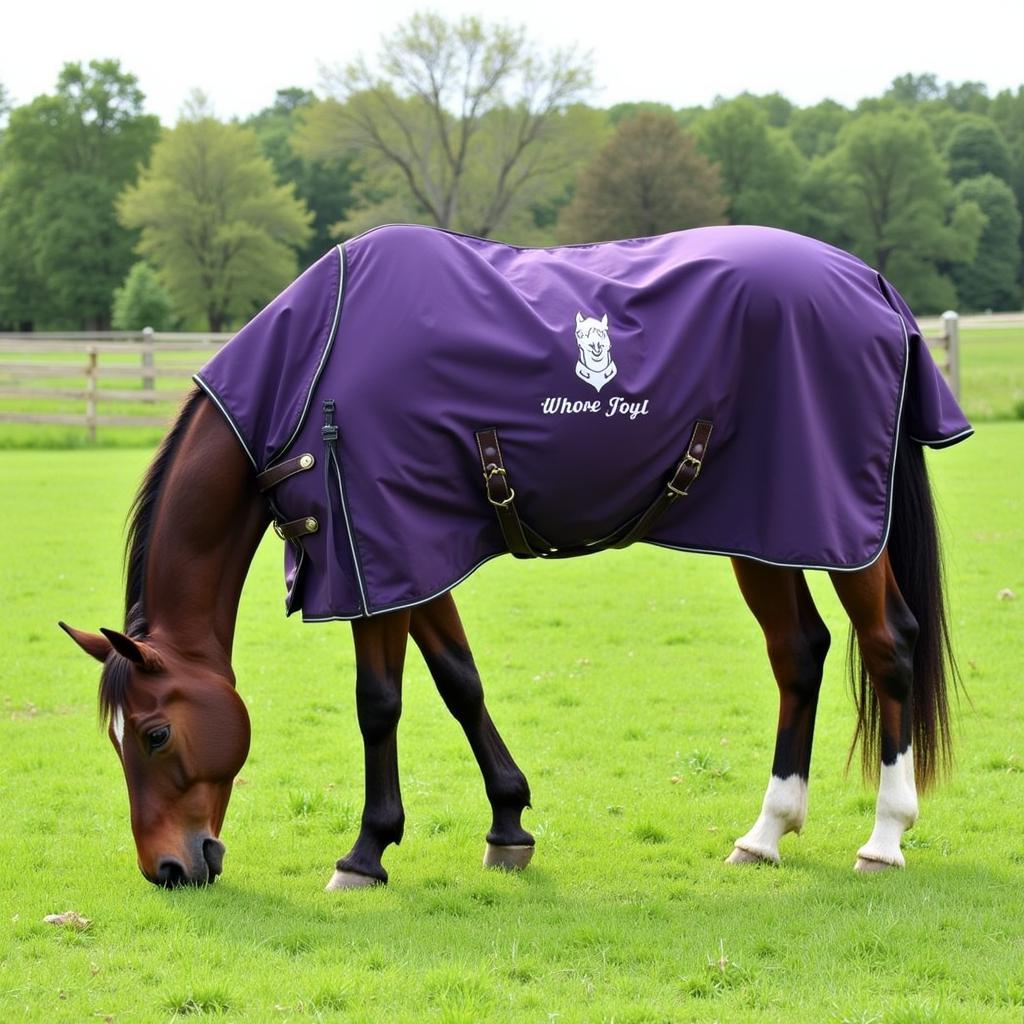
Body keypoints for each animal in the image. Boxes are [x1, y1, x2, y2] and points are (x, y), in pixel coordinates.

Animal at [59, 224, 970, 888]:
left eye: (152, 735)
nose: (168, 869)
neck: (313, 365)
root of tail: (874, 286)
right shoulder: (409, 556)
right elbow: (460, 682)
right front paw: (508, 823)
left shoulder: (374, 554)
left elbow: (379, 702)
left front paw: (366, 852)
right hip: (766, 529)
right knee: (799, 653)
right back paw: (766, 833)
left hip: (838, 528)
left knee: (888, 645)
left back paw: (885, 838)